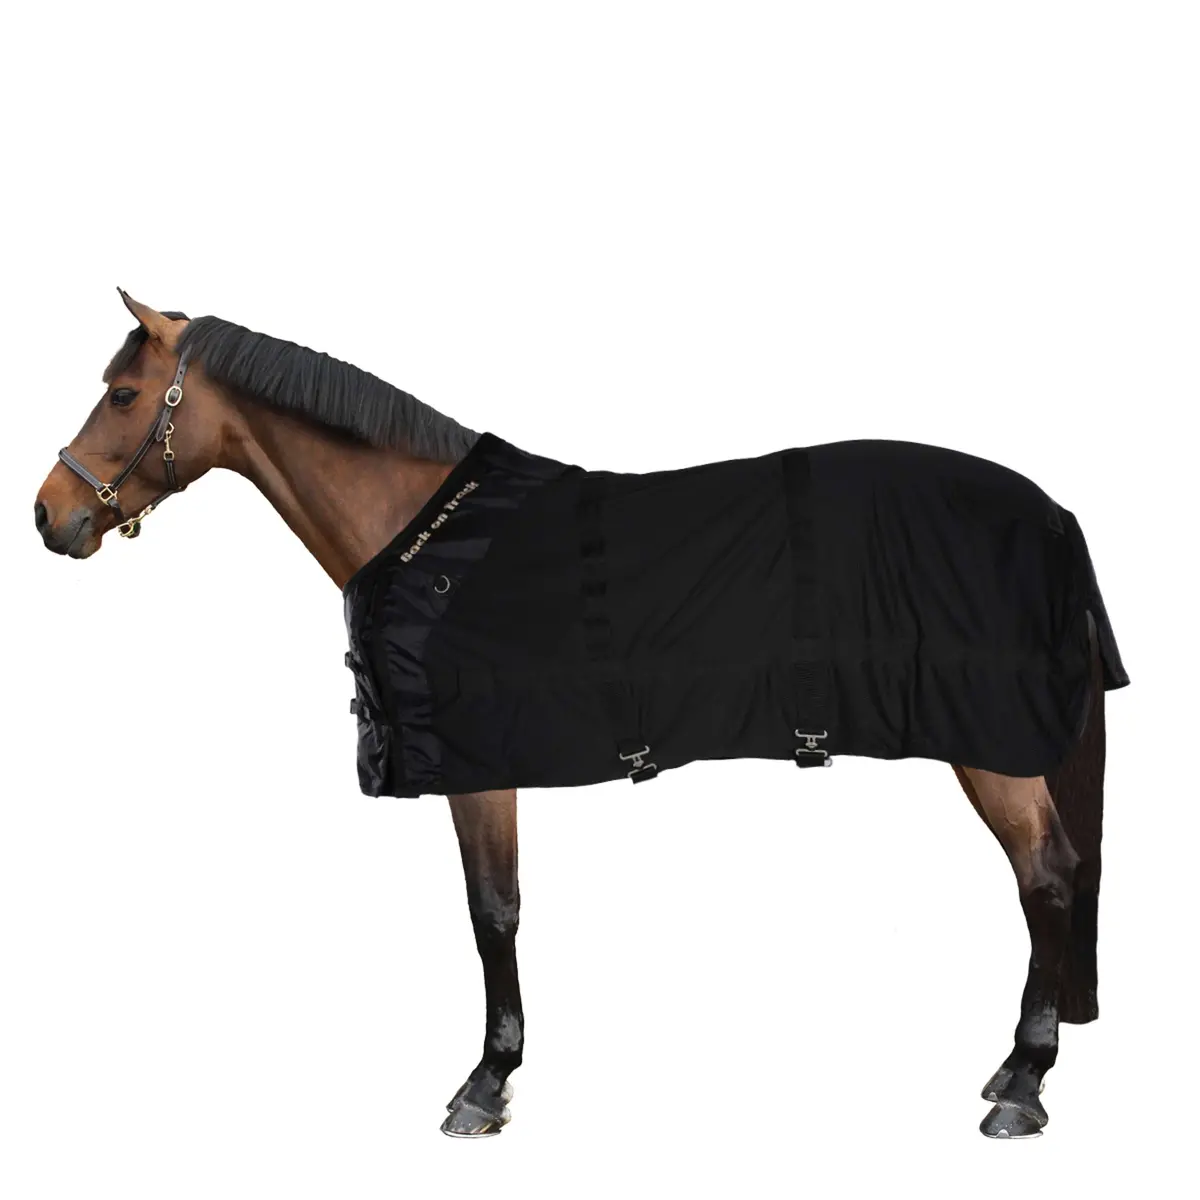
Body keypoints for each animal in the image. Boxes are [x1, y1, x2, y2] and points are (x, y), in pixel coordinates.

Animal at [35, 291, 1126, 1140]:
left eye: (124, 394)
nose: (50, 515)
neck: (427, 532)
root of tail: (1051, 515)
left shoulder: (479, 769)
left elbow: (492, 913)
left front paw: (486, 1084)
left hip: (993, 748)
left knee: (1047, 876)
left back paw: (1023, 1084)